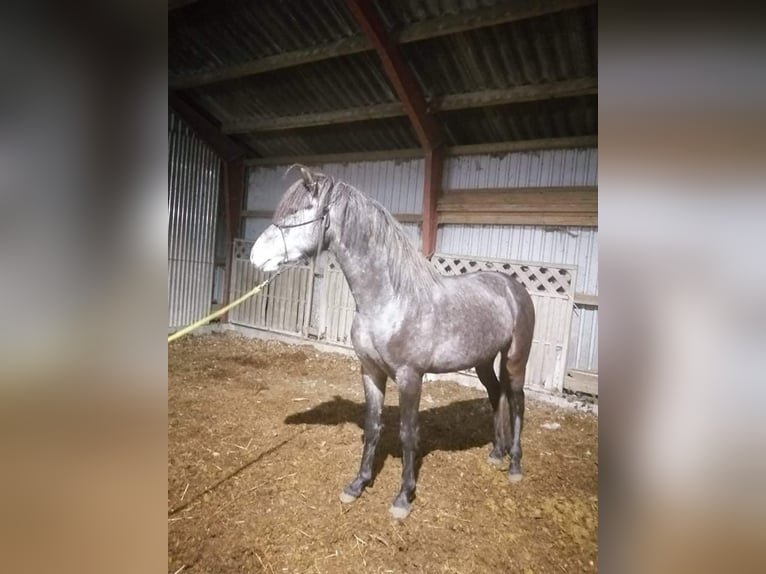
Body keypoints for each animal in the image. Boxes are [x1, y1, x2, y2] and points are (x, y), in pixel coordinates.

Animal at [249, 166, 536, 520]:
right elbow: (373, 426)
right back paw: (496, 453)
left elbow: (408, 432)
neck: (389, 299)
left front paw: (403, 497)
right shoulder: (371, 372)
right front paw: (357, 485)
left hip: (516, 359)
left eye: (297, 211)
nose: (255, 255)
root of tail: (512, 286)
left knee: (518, 401)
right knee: (496, 395)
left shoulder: (409, 377)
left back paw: (515, 465)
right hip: (482, 360)